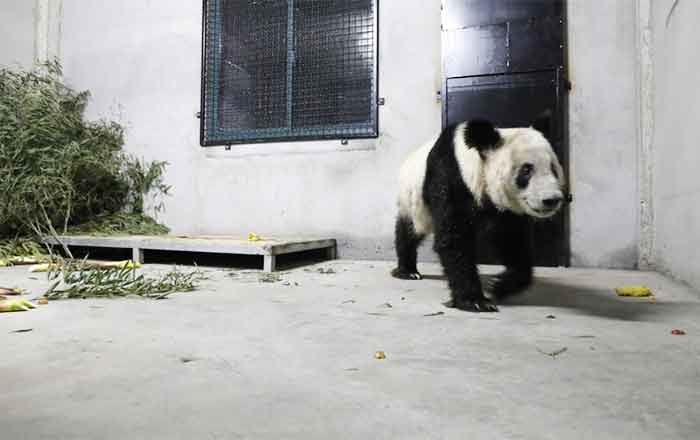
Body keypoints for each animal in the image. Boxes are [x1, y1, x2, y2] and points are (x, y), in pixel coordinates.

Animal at [391, 118, 566, 312]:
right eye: (526, 170)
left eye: (553, 168)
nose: (552, 200)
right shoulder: (450, 177)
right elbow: (454, 238)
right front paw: (474, 301)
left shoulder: (505, 210)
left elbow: (512, 239)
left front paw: (499, 286)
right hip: (414, 199)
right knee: (410, 230)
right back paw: (408, 271)